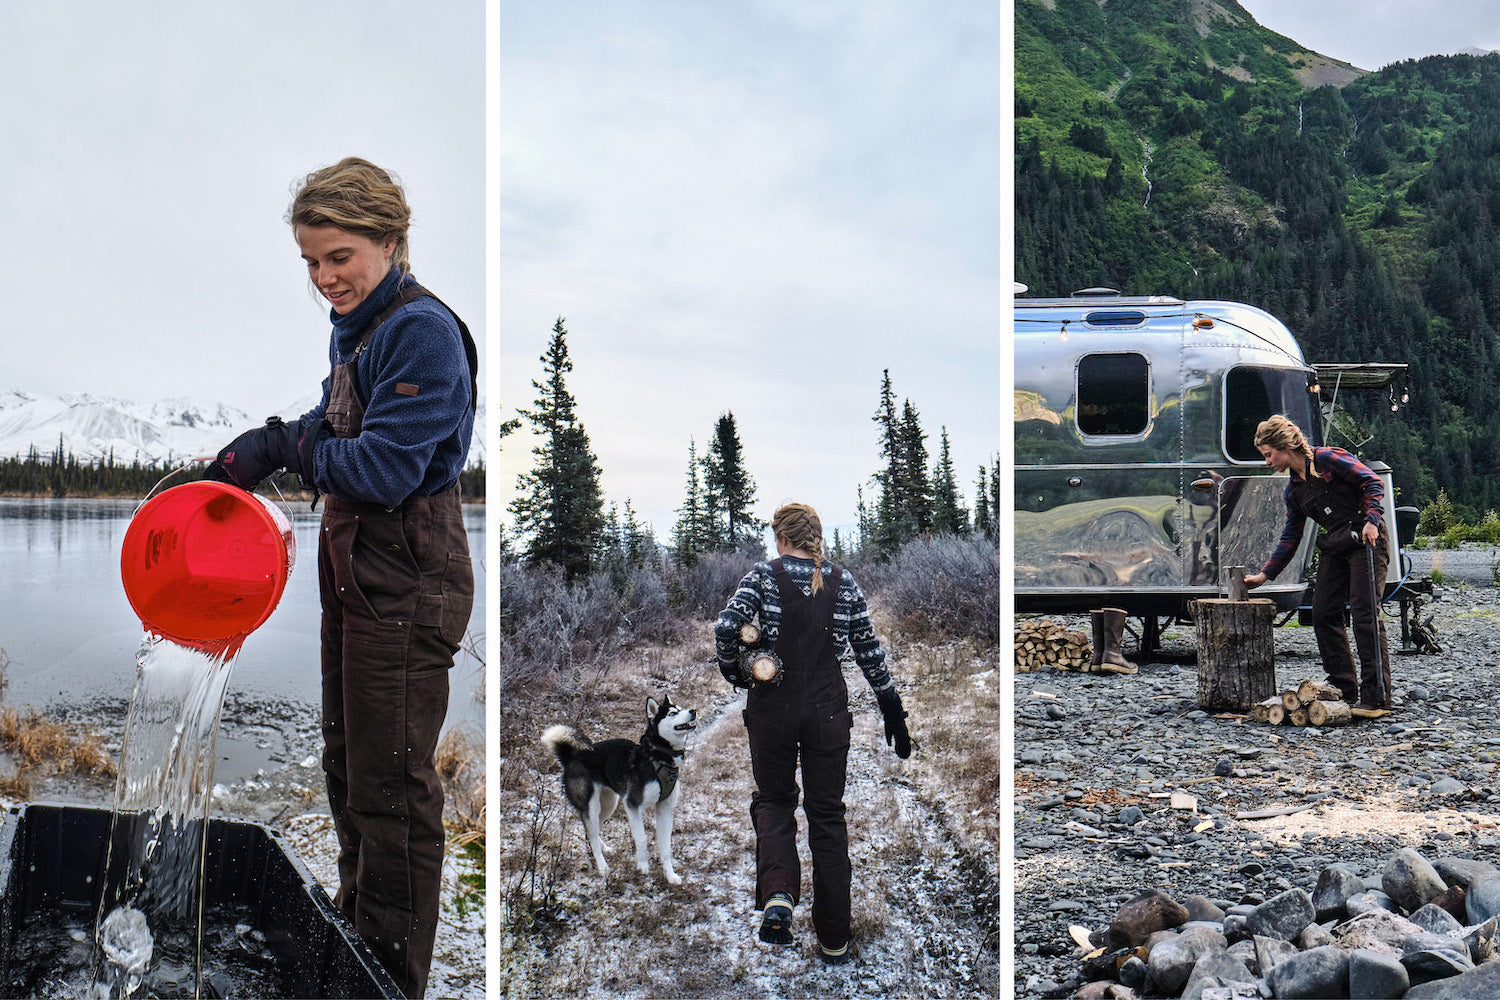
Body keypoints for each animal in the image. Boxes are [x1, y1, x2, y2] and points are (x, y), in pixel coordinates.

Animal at [543, 695, 699, 881]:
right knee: (592, 834)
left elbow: (666, 846)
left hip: (608, 804)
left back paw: (604, 849)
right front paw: (642, 867)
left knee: (590, 831)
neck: (658, 757)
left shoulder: (665, 808)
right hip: (592, 805)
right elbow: (641, 838)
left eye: (681, 708)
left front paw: (670, 875)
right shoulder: (632, 804)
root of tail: (571, 757)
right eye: (672, 713)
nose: (693, 710)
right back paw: (602, 867)